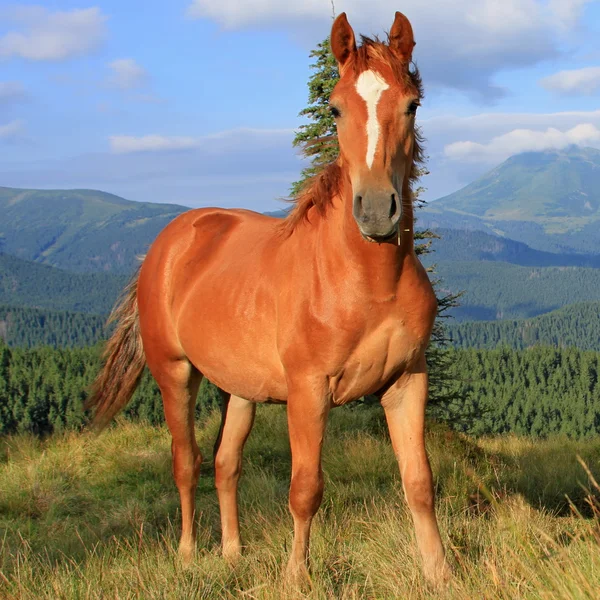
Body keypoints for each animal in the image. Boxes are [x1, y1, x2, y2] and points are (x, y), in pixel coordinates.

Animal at [88, 10, 450, 584]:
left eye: (412, 104)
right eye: (335, 107)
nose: (375, 211)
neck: (368, 282)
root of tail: (171, 241)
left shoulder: (406, 381)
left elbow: (419, 482)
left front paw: (439, 573)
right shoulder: (307, 391)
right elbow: (305, 490)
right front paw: (296, 576)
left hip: (240, 389)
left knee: (225, 463)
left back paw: (233, 552)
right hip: (175, 373)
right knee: (186, 462)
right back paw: (188, 553)